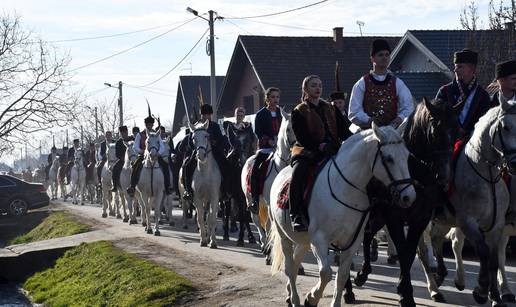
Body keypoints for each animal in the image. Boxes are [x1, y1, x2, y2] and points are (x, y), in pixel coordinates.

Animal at [241, 109, 296, 258]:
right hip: (251, 199)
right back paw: (264, 245)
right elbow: (271, 225)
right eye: (288, 129)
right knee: (257, 221)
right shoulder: (270, 203)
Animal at [270, 123, 416, 307]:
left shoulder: (351, 242)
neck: (346, 188)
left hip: (303, 240)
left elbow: (342, 276)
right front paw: (311, 297)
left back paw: (290, 295)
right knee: (289, 267)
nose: (409, 197)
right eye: (389, 158)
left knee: (296, 264)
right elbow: (326, 273)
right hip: (284, 236)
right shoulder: (319, 240)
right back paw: (295, 299)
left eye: (407, 156)